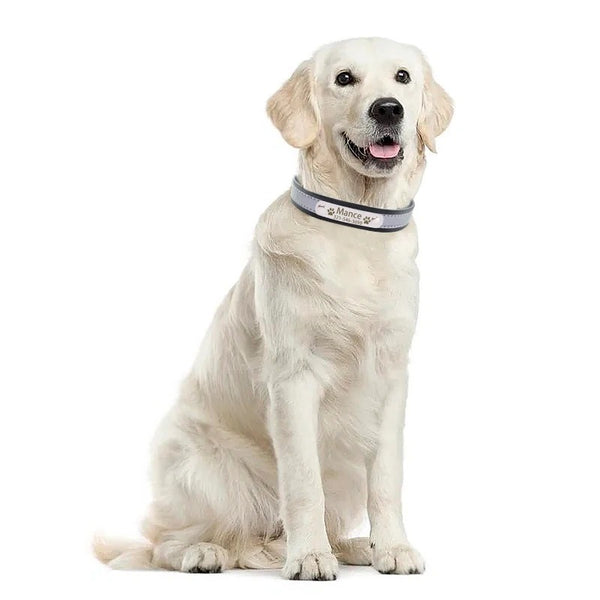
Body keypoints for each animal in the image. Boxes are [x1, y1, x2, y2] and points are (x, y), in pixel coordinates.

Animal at [94, 37, 452, 580]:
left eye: (403, 78)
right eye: (344, 79)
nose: (388, 108)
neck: (358, 226)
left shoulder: (391, 376)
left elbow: (387, 477)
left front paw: (393, 547)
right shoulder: (294, 378)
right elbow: (302, 482)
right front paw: (308, 558)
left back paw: (354, 546)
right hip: (201, 466)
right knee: (163, 541)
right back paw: (208, 553)